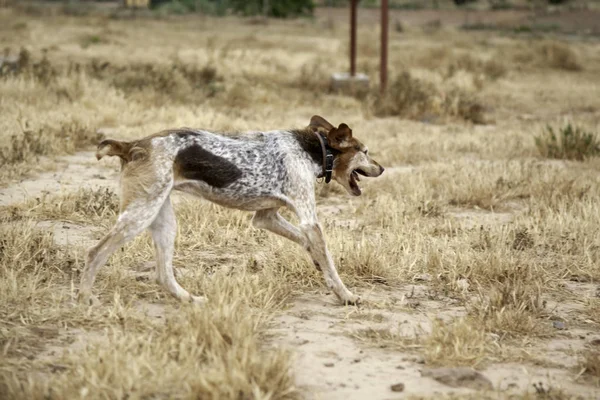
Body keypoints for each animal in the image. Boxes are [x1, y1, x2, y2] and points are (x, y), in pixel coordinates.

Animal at [78, 115, 384, 306]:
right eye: (366, 152)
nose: (382, 168)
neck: (316, 149)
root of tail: (133, 145)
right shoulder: (308, 220)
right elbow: (327, 258)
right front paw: (345, 295)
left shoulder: (266, 217)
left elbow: (308, 244)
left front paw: (316, 261)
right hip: (139, 215)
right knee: (95, 252)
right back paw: (86, 297)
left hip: (162, 219)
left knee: (163, 275)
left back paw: (191, 300)